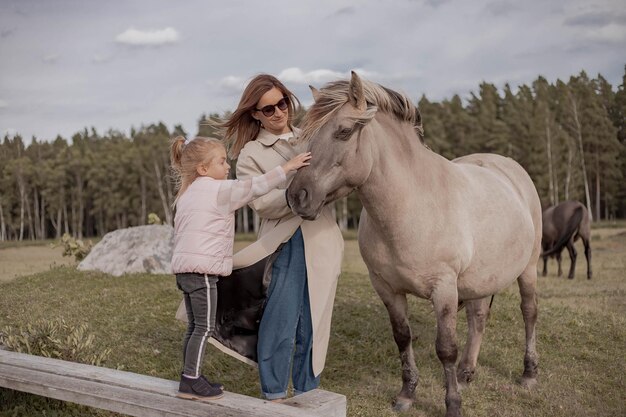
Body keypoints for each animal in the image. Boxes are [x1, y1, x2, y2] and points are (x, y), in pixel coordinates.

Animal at [286, 72, 540, 416]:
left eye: (344, 131)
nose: (296, 196)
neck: (411, 205)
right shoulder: (387, 288)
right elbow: (402, 338)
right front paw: (407, 394)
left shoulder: (444, 289)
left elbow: (445, 348)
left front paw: (452, 404)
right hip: (479, 280)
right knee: (478, 318)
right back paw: (467, 372)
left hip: (529, 268)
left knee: (529, 312)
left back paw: (528, 373)